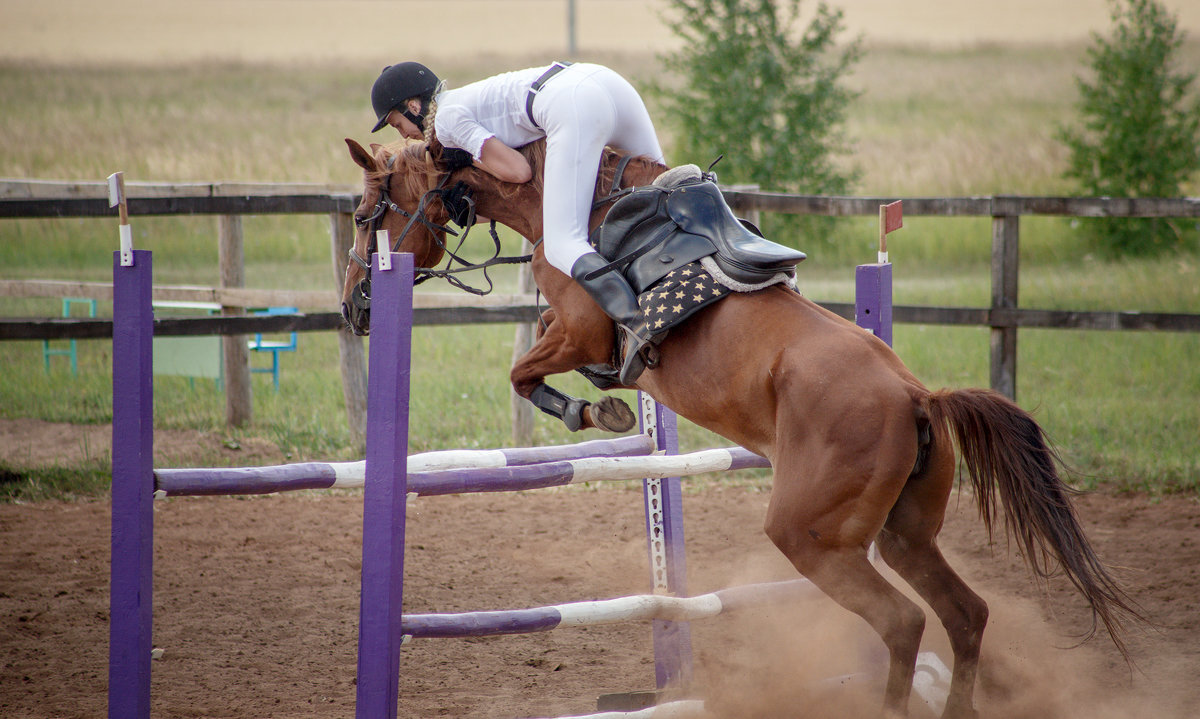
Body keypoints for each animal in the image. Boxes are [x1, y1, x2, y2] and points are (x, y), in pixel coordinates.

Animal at [336, 138, 1132, 715]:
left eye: (366, 209)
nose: (355, 307)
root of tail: (916, 395)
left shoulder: (583, 329)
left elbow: (526, 370)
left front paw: (595, 408)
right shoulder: (571, 331)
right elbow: (535, 352)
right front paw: (603, 403)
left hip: (812, 536)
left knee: (904, 622)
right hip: (903, 533)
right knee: (963, 614)